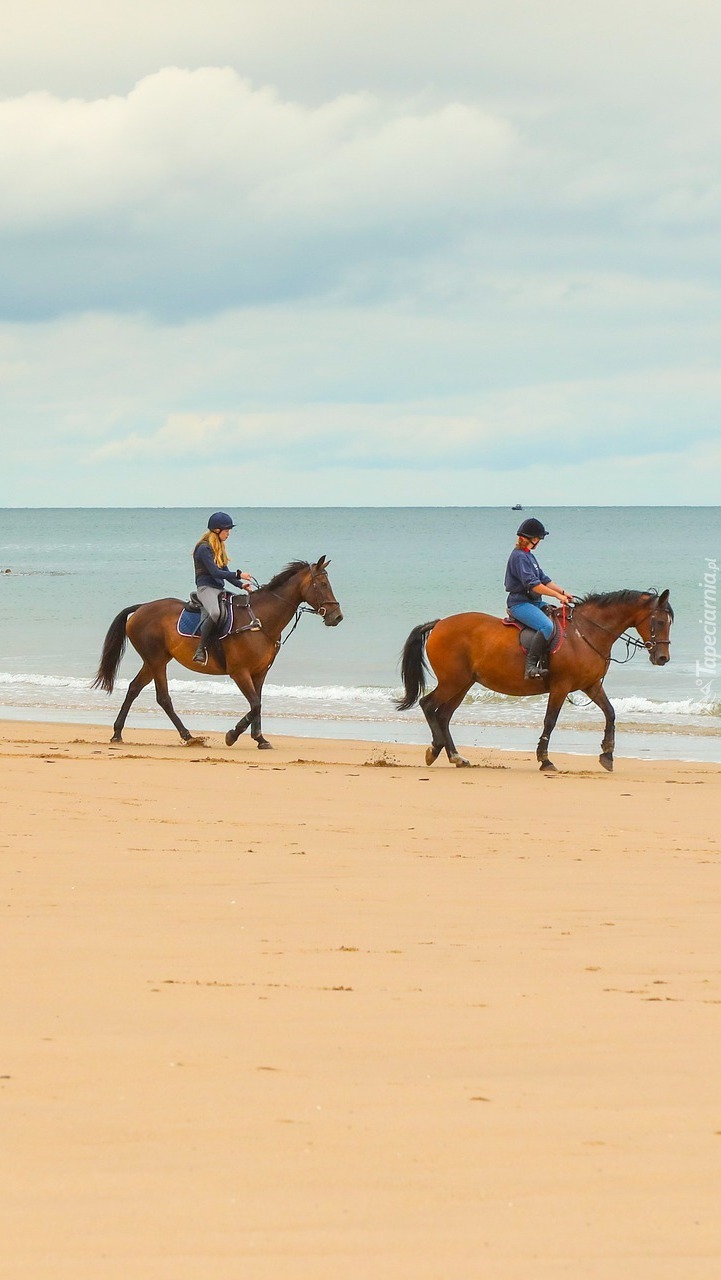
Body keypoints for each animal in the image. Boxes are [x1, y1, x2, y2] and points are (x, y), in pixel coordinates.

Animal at [94, 555, 343, 747]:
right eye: (322, 584)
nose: (337, 617)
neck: (260, 619)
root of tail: (141, 608)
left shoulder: (260, 673)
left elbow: (258, 704)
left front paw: (260, 739)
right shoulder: (239, 672)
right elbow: (255, 704)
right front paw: (232, 735)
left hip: (155, 660)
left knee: (134, 688)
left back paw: (118, 733)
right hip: (156, 661)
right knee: (163, 697)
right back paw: (189, 736)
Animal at [394, 586, 671, 768]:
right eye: (659, 621)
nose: (662, 658)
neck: (585, 633)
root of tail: (440, 623)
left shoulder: (591, 685)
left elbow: (610, 713)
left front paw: (607, 755)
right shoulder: (561, 686)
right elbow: (550, 721)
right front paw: (544, 759)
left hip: (463, 684)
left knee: (443, 714)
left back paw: (455, 756)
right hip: (453, 681)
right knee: (428, 705)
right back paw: (435, 749)